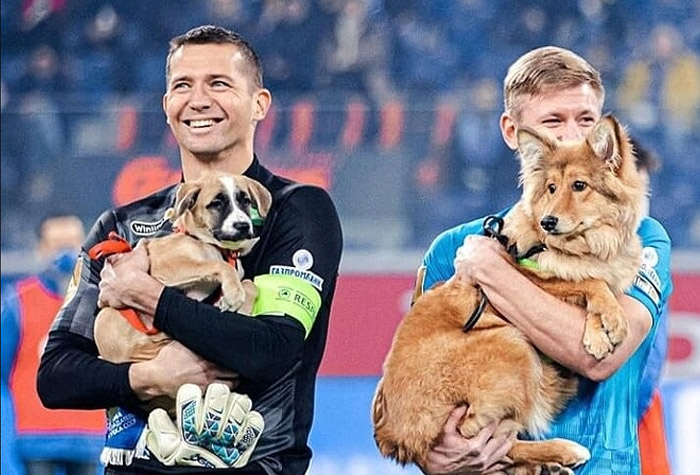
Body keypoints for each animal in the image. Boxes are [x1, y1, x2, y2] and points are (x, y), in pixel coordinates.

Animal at [95, 172, 274, 386]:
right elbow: (218, 266)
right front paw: (234, 295)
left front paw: (238, 301)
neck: (213, 246)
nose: (243, 226)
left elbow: (249, 284)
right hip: (106, 317)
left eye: (245, 200)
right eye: (216, 203)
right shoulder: (168, 266)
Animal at [372, 116, 644, 475]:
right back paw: (560, 451)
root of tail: (391, 432)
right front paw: (608, 325)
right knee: (491, 442)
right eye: (552, 188)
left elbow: (597, 281)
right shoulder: (525, 276)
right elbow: (588, 282)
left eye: (579, 185)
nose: (548, 221)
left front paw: (598, 329)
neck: (583, 245)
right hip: (512, 344)